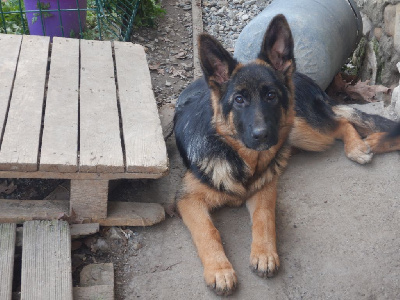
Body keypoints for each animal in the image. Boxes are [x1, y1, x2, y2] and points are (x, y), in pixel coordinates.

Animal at [173, 14, 400, 296]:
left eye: (271, 95)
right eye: (239, 100)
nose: (262, 136)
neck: (238, 157)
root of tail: (303, 76)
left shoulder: (266, 188)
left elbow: (264, 217)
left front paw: (264, 253)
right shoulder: (188, 200)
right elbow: (208, 231)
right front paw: (220, 270)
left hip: (301, 129)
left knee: (341, 122)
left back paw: (360, 146)